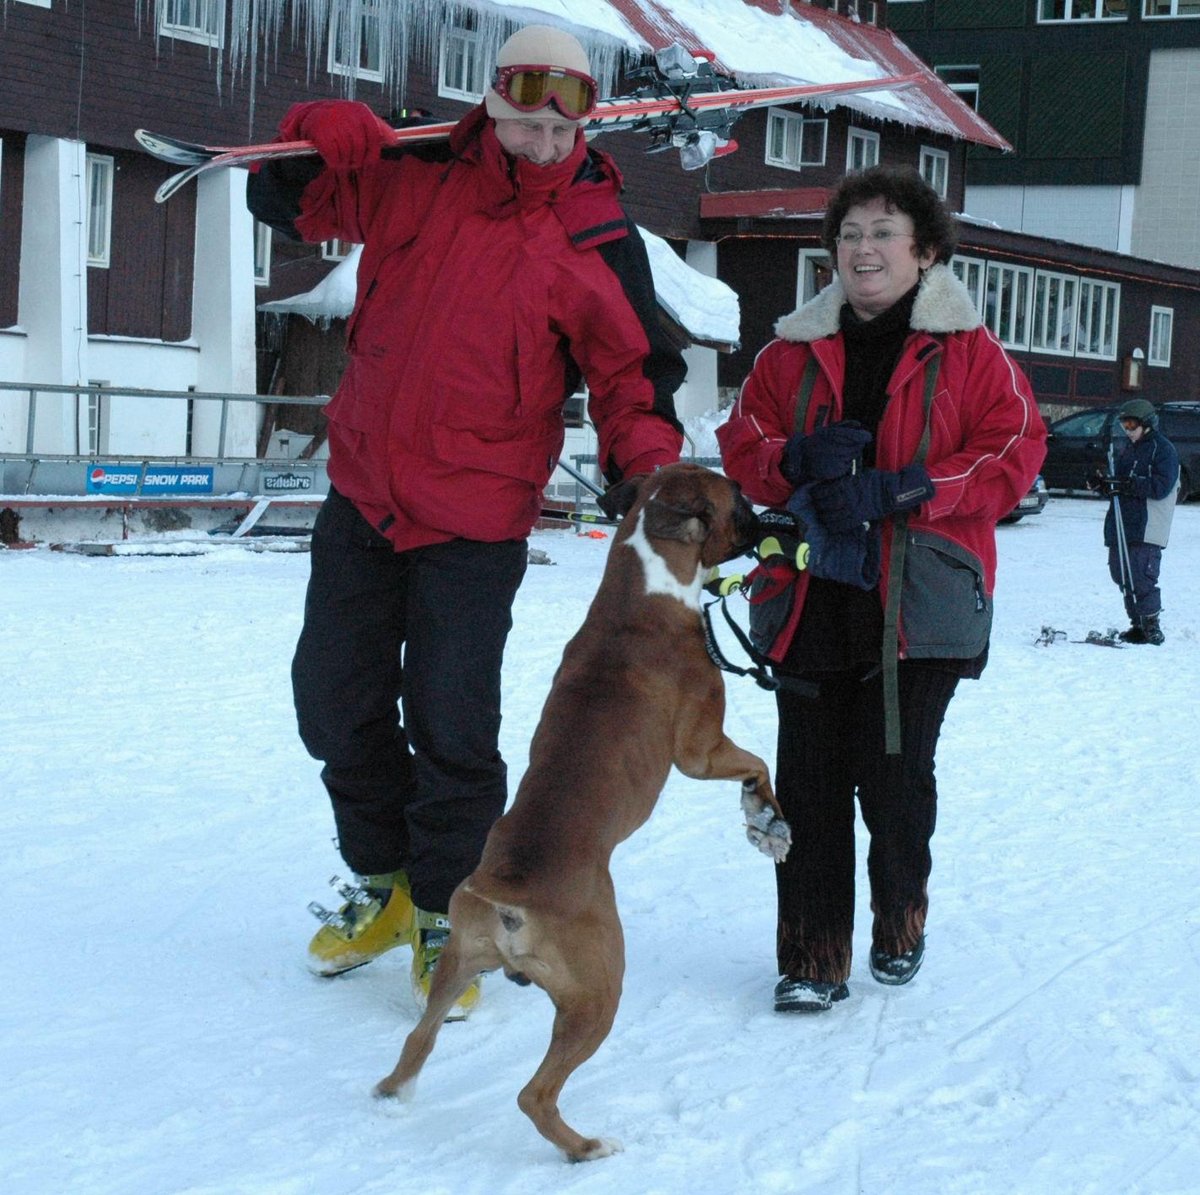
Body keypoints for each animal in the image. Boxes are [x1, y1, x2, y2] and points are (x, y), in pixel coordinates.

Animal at [369, 465, 792, 1156]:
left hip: (457, 963)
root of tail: (510, 897)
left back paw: (393, 1090)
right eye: (739, 499)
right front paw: (767, 825)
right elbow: (758, 763)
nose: (774, 516)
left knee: (419, 1038)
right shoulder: (701, 752)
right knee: (534, 1095)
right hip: (598, 993)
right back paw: (587, 1148)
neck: (642, 590)